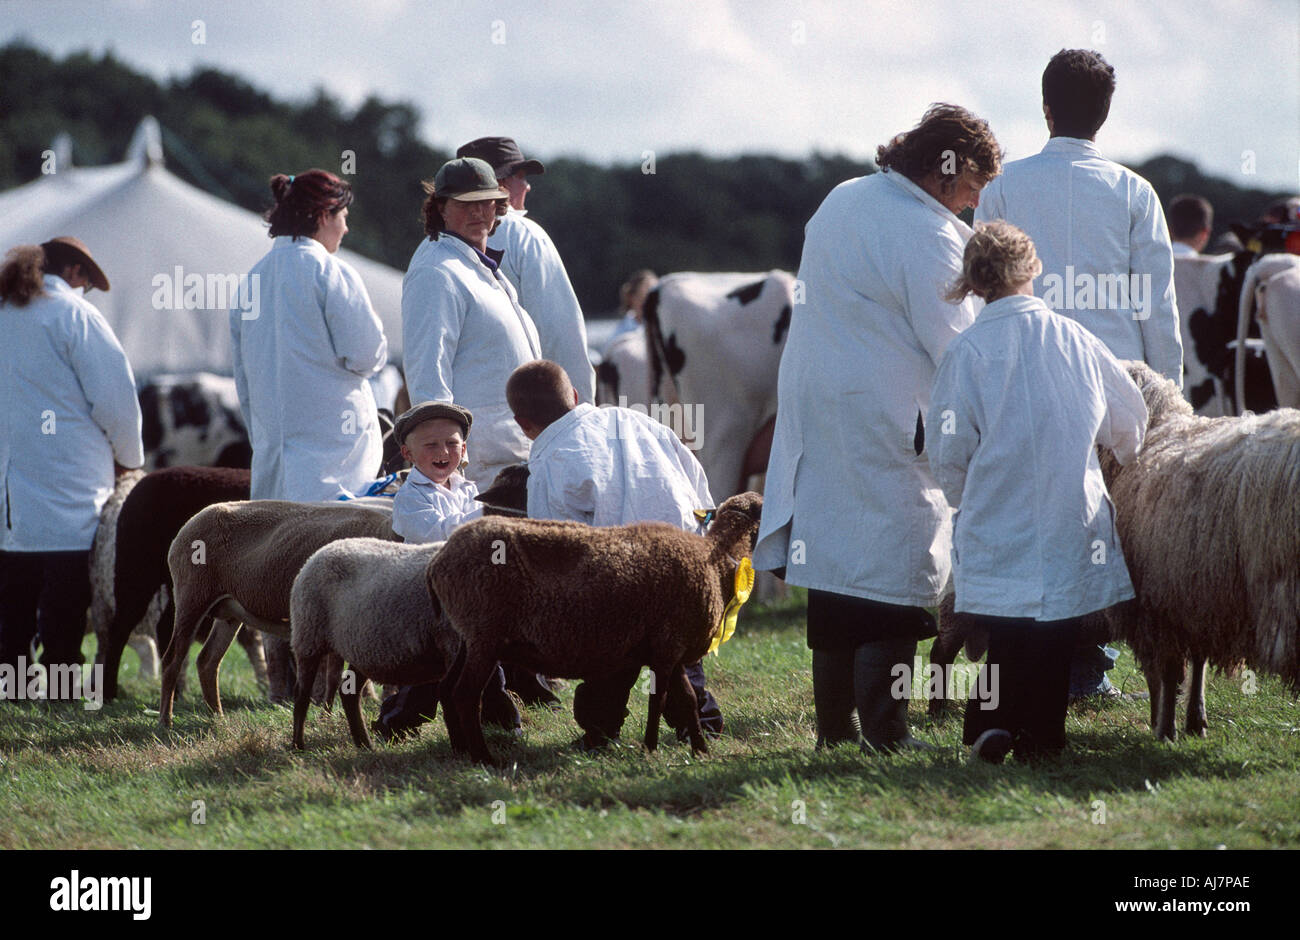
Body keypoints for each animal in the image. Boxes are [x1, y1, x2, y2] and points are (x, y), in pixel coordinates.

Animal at [155, 499, 395, 728]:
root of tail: (190, 524)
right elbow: (334, 678)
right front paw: (326, 718)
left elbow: (336, 678)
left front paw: (327, 717)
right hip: (192, 596)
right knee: (173, 659)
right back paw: (166, 721)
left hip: (229, 611)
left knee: (208, 661)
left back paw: (218, 718)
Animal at [291, 540, 462, 754]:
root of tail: (318, 553)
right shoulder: (454, 643)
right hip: (308, 637)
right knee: (301, 695)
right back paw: (297, 746)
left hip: (361, 648)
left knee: (349, 694)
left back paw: (364, 744)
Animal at [426, 491, 759, 764]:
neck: (715, 558)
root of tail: (438, 560)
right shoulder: (668, 646)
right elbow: (659, 701)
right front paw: (650, 748)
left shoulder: (669, 650)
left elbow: (687, 700)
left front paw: (700, 750)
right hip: (484, 634)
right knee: (466, 694)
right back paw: (484, 758)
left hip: (467, 637)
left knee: (446, 687)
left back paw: (460, 750)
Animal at [1097, 364, 1300, 738]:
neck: (1155, 431)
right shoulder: (1200, 591)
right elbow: (1197, 661)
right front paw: (1193, 719)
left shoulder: (1159, 599)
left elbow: (1166, 671)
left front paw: (1164, 725)